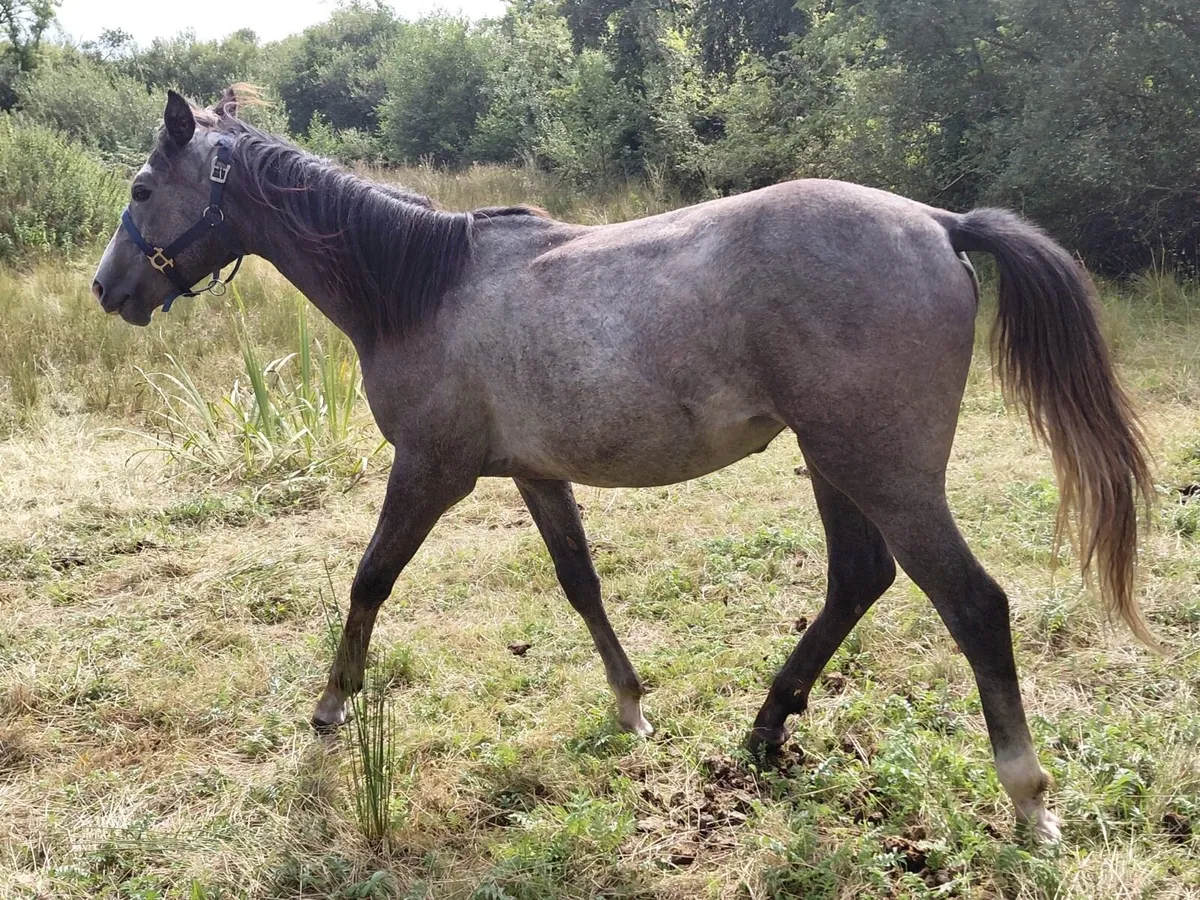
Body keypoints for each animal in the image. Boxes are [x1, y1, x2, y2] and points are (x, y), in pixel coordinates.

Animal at [91, 87, 1153, 842]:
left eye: (142, 191)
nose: (108, 289)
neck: (423, 287)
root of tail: (939, 222)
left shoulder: (429, 471)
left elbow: (369, 580)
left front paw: (330, 706)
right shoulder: (535, 473)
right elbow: (581, 584)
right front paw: (632, 705)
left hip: (884, 472)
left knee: (972, 605)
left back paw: (1028, 798)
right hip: (835, 463)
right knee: (859, 580)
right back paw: (766, 728)